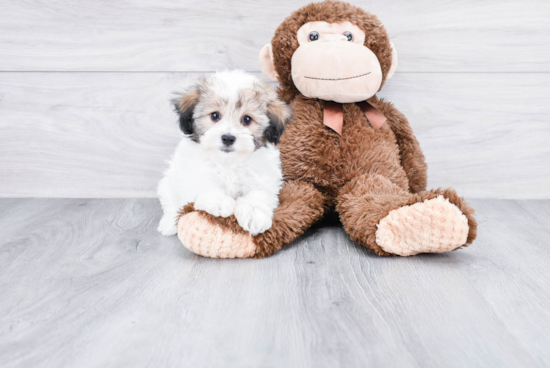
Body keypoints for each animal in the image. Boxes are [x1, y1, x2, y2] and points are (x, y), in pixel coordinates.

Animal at [157, 70, 292, 237]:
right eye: (215, 115)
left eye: (247, 119)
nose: (228, 138)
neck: (229, 163)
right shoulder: (193, 173)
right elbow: (204, 184)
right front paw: (219, 201)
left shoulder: (264, 178)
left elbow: (259, 194)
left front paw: (253, 213)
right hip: (168, 183)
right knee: (171, 204)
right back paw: (169, 223)